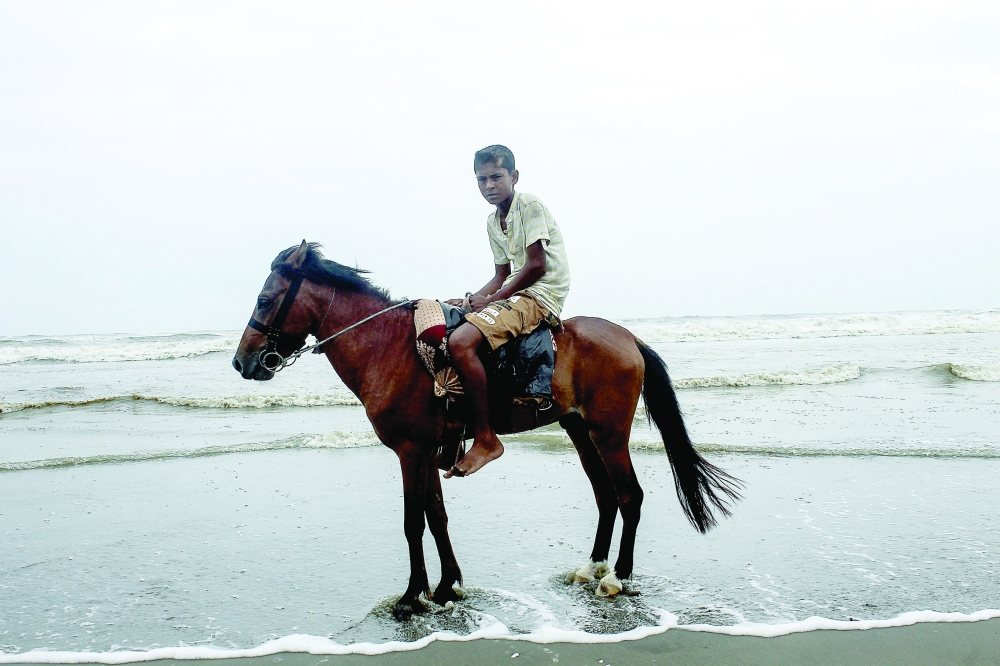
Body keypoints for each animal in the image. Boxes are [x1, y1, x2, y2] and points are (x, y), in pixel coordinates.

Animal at [232, 241, 742, 619]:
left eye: (264, 300)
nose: (242, 362)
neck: (387, 347)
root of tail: (628, 337)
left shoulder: (411, 451)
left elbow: (413, 522)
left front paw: (411, 596)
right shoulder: (428, 452)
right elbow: (437, 518)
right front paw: (445, 586)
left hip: (609, 432)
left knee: (629, 495)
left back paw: (617, 576)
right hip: (579, 430)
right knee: (605, 495)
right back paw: (592, 567)